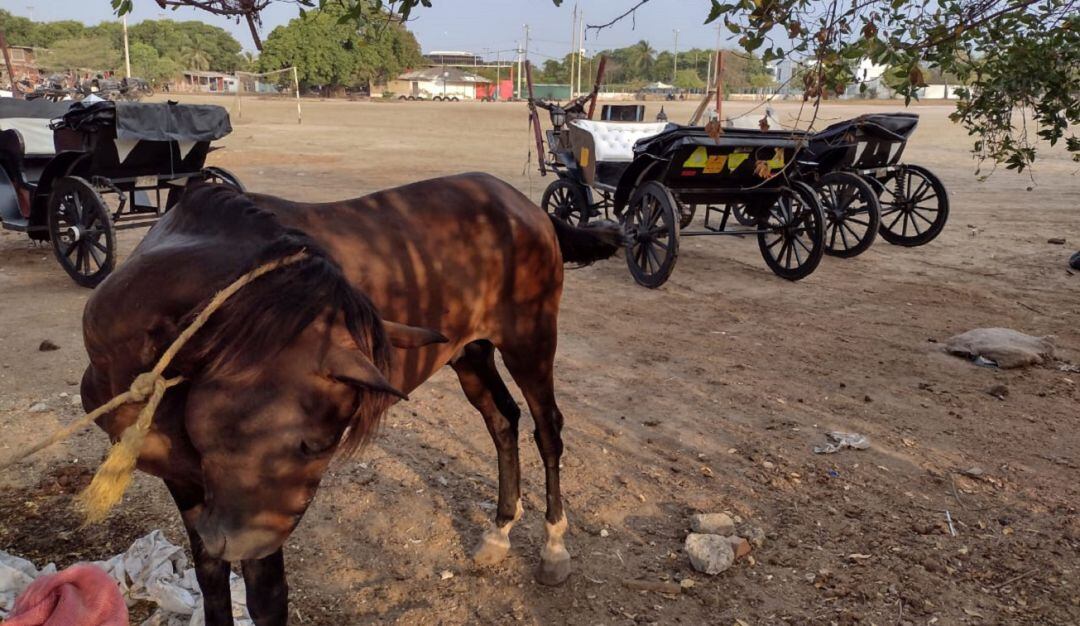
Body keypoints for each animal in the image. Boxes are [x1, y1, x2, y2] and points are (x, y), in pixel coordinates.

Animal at [80, 173, 620, 625]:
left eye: (316, 445)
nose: (230, 538)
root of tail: (520, 203)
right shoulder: (188, 481)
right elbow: (211, 582)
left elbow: (266, 598)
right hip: (470, 353)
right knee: (502, 420)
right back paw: (499, 532)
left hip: (530, 342)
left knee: (547, 429)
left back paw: (554, 547)